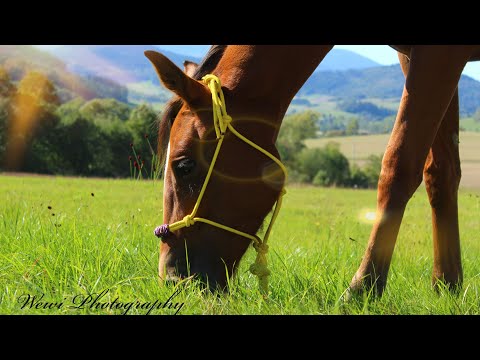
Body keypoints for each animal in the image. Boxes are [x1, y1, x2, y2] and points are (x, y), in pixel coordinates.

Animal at [146, 45, 480, 294]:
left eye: (184, 165)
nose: (172, 278)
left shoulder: (438, 55)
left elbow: (399, 166)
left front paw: (363, 289)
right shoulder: (416, 58)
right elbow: (441, 173)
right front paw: (447, 286)